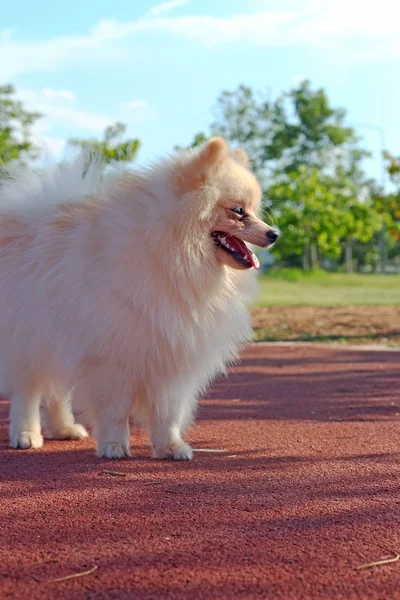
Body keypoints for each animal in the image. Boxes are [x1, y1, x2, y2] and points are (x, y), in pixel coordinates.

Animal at [0, 138, 278, 462]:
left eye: (255, 210)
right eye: (238, 211)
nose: (274, 233)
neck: (169, 255)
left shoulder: (170, 357)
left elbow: (166, 412)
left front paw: (171, 447)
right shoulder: (111, 357)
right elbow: (115, 410)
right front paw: (114, 446)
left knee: (56, 391)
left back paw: (64, 428)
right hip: (29, 341)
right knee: (28, 392)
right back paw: (26, 434)